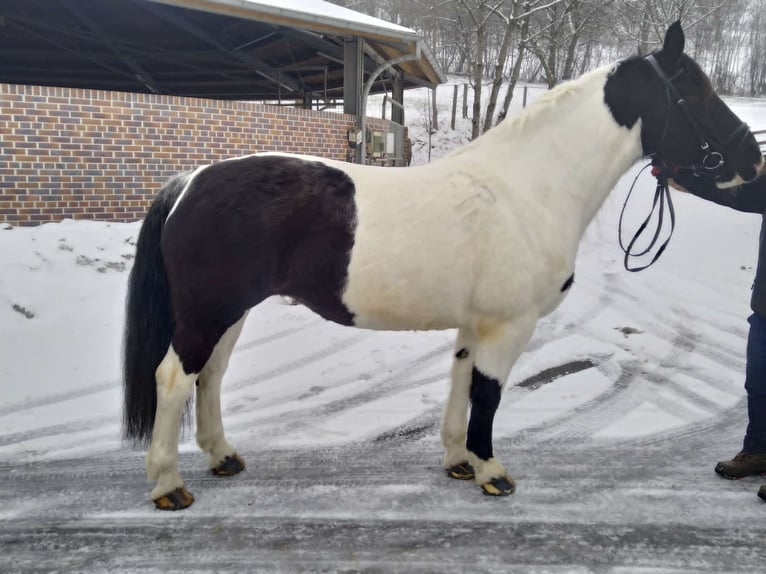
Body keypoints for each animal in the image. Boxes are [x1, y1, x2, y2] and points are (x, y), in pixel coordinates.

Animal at [123, 22, 764, 510]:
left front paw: (458, 461)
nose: (752, 159)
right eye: (697, 95)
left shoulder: (475, 324)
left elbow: (462, 386)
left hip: (230, 313)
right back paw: (168, 486)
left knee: (210, 377)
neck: (531, 188)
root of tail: (190, 181)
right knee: (174, 379)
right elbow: (489, 395)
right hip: (208, 313)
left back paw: (223, 457)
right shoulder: (509, 326)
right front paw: (492, 472)